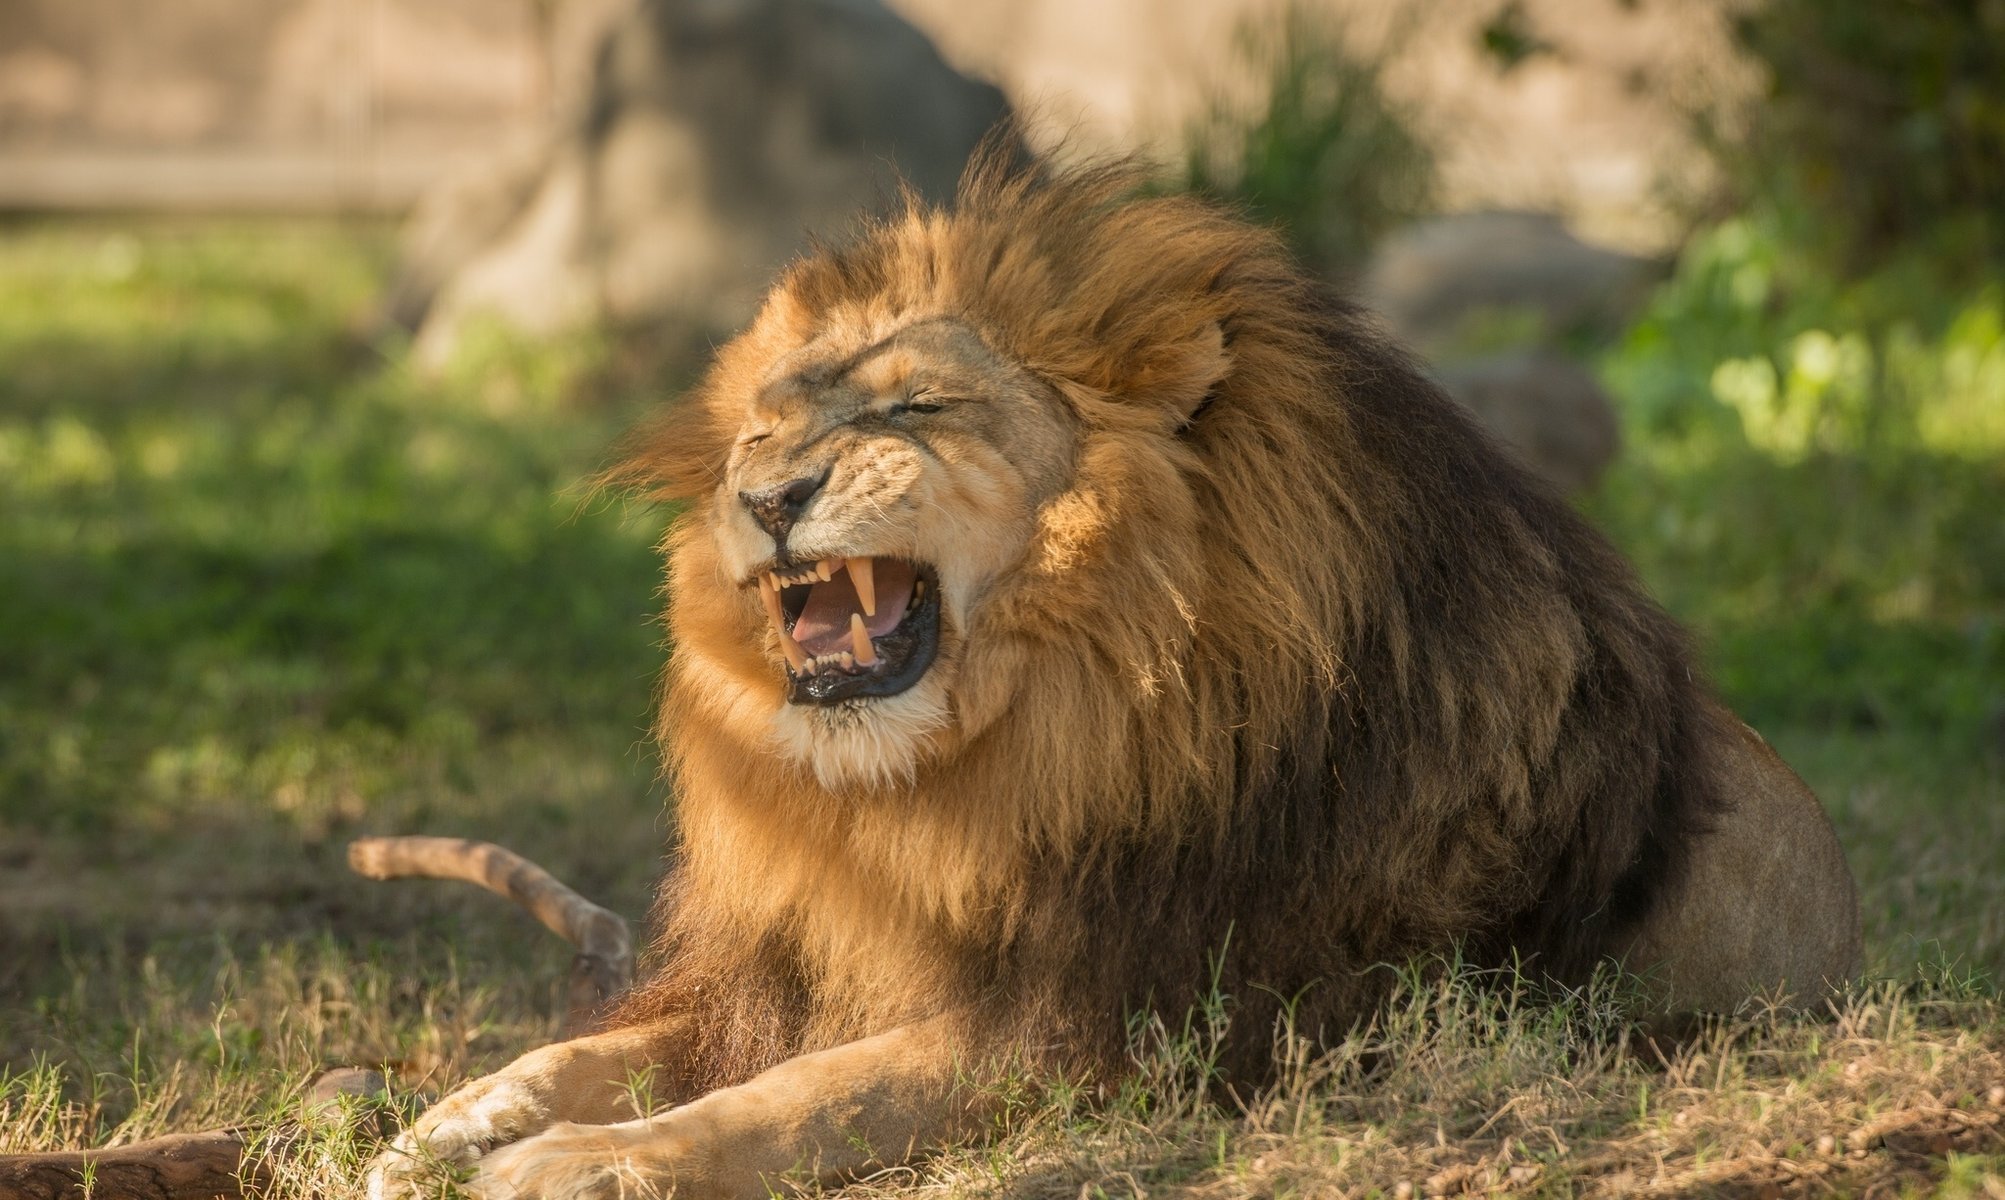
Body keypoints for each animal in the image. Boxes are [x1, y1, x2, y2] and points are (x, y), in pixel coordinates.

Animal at [367, 154, 1859, 1200]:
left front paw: (577, 1162)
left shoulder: (1117, 1016)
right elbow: (602, 1047)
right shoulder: (791, 967)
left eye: (915, 408)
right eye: (760, 430)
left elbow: (806, 1097)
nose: (767, 496)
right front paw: (443, 1123)